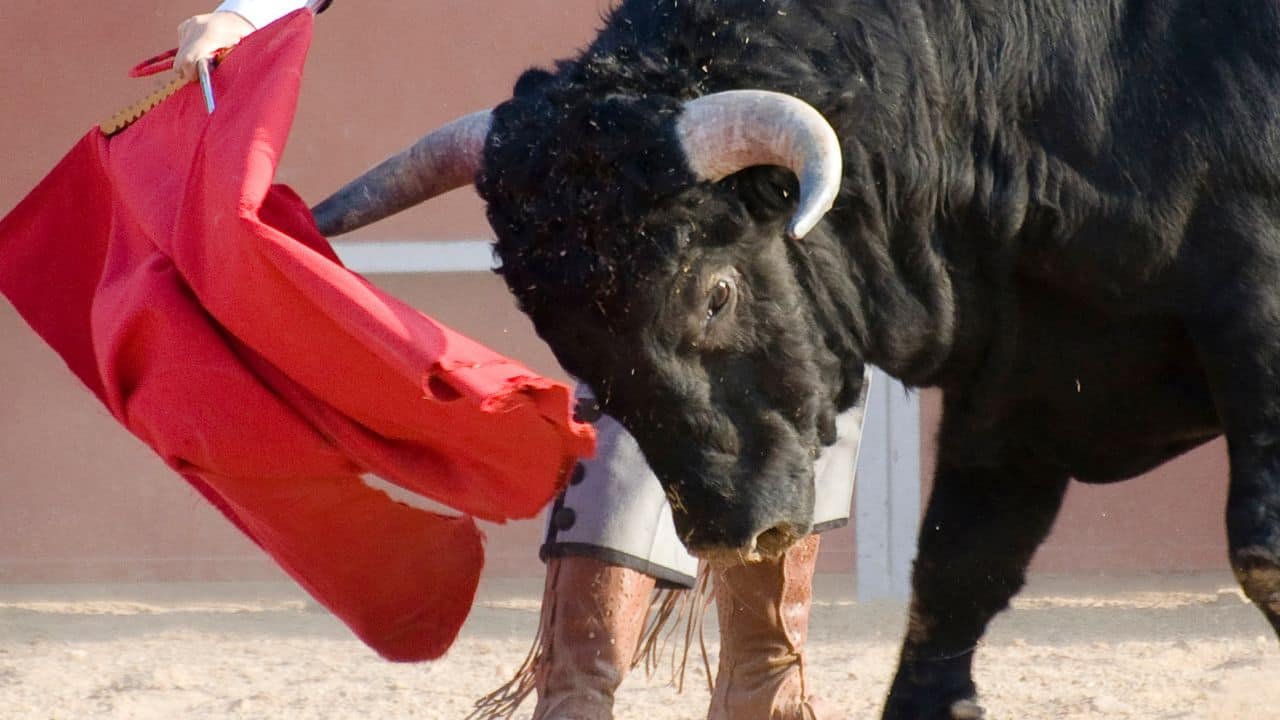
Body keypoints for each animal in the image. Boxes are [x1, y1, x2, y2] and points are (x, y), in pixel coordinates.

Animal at [312, 1, 1280, 716]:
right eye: (557, 330)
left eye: (715, 292)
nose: (729, 529)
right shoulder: (1019, 384)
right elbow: (956, 571)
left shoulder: (1250, 320)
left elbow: (1257, 549)